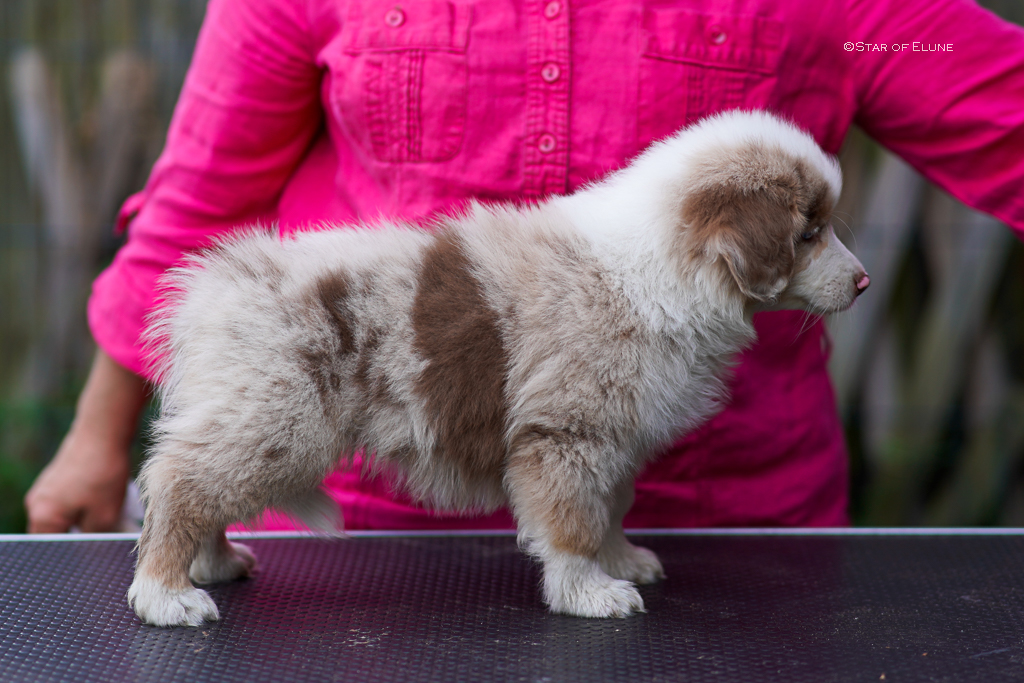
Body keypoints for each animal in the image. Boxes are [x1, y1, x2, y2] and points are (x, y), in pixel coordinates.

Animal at [127, 110, 869, 626]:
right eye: (808, 234)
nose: (863, 282)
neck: (658, 271)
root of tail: (210, 289)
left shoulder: (616, 436)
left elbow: (612, 506)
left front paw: (621, 559)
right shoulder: (565, 433)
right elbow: (573, 522)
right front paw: (589, 592)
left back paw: (214, 564)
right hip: (277, 419)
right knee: (181, 483)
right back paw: (168, 594)